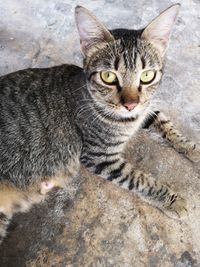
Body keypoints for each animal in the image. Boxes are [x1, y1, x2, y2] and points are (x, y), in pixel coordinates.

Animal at [0, 4, 200, 246]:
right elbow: (140, 179)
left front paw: (192, 148)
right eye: (108, 76)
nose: (130, 104)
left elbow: (165, 122)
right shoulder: (99, 156)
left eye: (147, 75)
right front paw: (172, 200)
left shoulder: (144, 110)